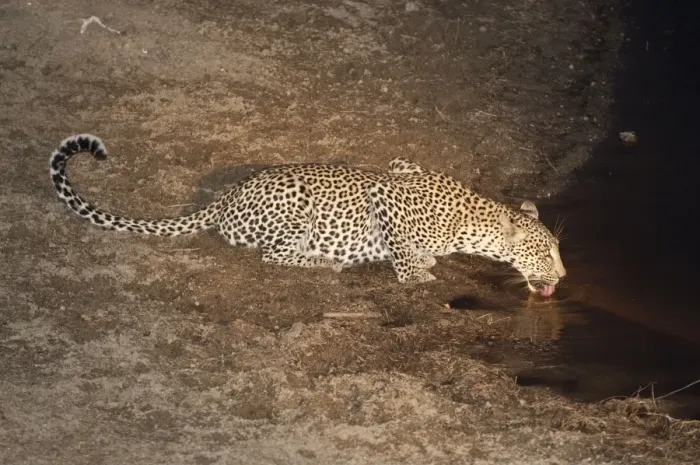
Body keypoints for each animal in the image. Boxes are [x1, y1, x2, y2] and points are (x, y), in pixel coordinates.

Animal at [49, 134, 566, 296]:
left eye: (558, 250)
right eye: (545, 253)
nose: (564, 275)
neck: (472, 220)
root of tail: (225, 197)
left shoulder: (401, 164)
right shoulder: (386, 194)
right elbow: (404, 256)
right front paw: (418, 273)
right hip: (296, 209)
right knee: (274, 257)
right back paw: (324, 262)